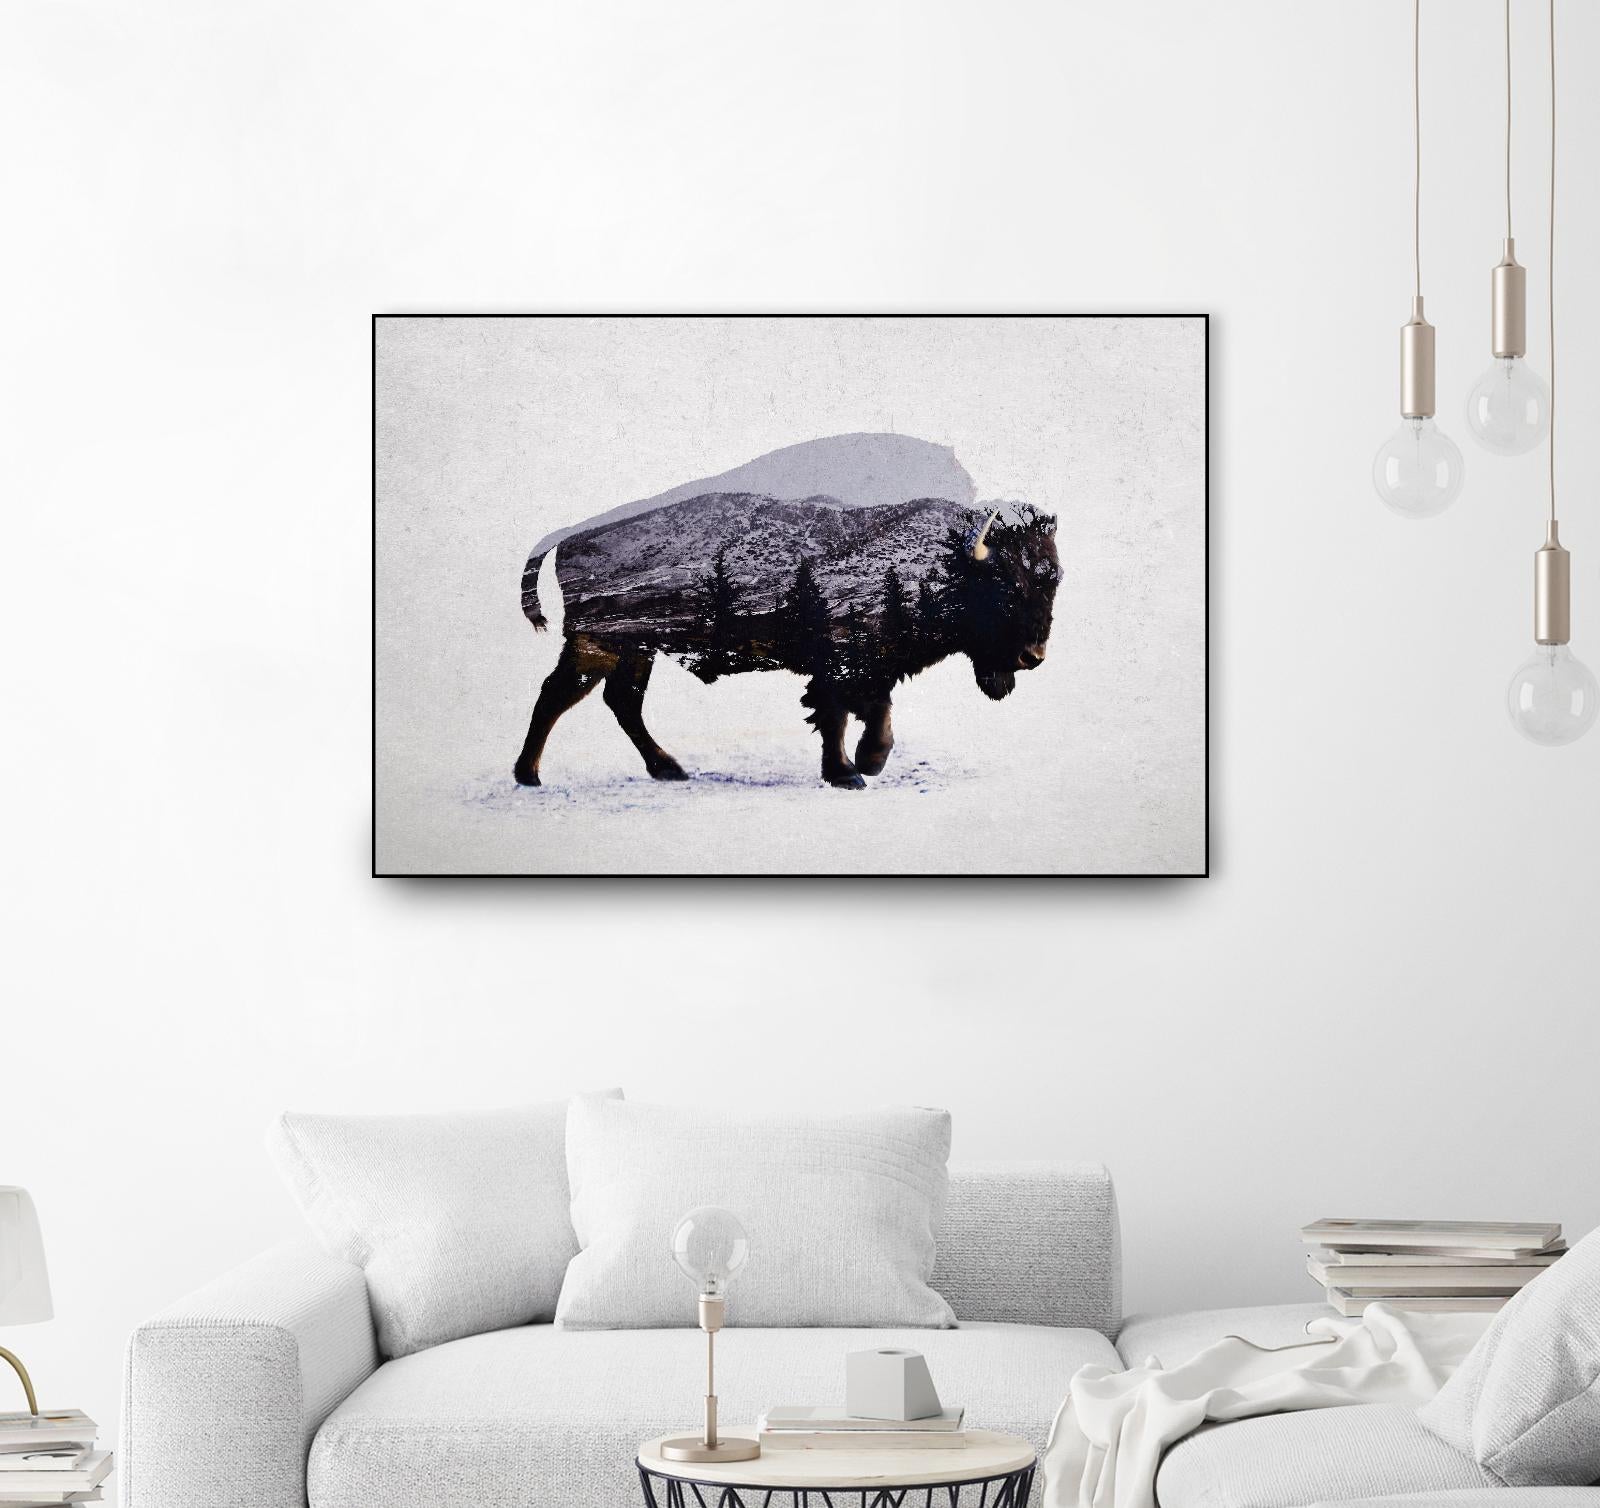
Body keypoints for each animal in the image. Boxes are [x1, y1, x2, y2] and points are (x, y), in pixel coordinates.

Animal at [513, 434, 1060, 790]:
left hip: (635, 647)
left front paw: (869, 762)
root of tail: (568, 535)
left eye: (1051, 580)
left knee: (621, 701)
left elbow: (876, 713)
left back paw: (668, 769)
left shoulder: (873, 665)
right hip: (598, 644)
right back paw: (530, 776)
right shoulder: (841, 663)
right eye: (1007, 586)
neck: (941, 556)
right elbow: (837, 714)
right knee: (557, 696)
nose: (1033, 656)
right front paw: (849, 774)